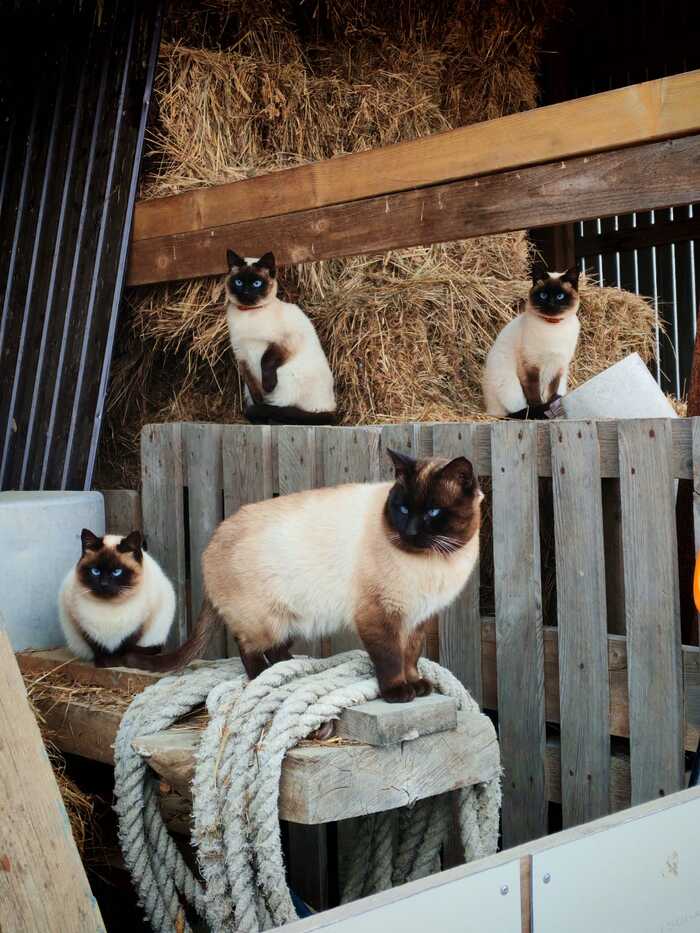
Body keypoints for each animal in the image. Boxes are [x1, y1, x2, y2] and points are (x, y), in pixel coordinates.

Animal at [58, 529, 176, 667]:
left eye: (117, 572)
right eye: (95, 571)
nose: (104, 584)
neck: (109, 607)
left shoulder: (138, 626)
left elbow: (124, 647)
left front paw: (116, 663)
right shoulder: (82, 626)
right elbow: (98, 648)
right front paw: (104, 663)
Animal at [124, 449, 483, 703]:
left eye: (433, 513)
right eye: (403, 509)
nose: (409, 532)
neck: (434, 562)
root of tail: (214, 538)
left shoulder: (417, 619)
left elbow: (411, 656)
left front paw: (417, 685)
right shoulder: (381, 616)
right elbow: (391, 659)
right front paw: (399, 693)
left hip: (289, 620)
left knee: (276, 647)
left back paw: (288, 667)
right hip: (263, 620)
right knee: (248, 647)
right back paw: (261, 676)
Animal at [225, 250, 337, 425]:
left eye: (257, 283)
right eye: (238, 282)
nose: (246, 292)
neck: (249, 314)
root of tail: (332, 407)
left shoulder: (285, 341)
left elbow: (266, 361)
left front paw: (268, 387)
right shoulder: (242, 357)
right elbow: (255, 391)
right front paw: (260, 410)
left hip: (287, 376)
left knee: (294, 413)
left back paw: (273, 417)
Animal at [482, 263, 581, 419]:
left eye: (560, 296)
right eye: (543, 295)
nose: (551, 304)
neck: (553, 327)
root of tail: (489, 408)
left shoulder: (557, 366)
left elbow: (551, 392)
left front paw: (552, 405)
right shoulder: (530, 366)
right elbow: (534, 395)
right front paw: (541, 411)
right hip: (510, 388)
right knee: (513, 413)